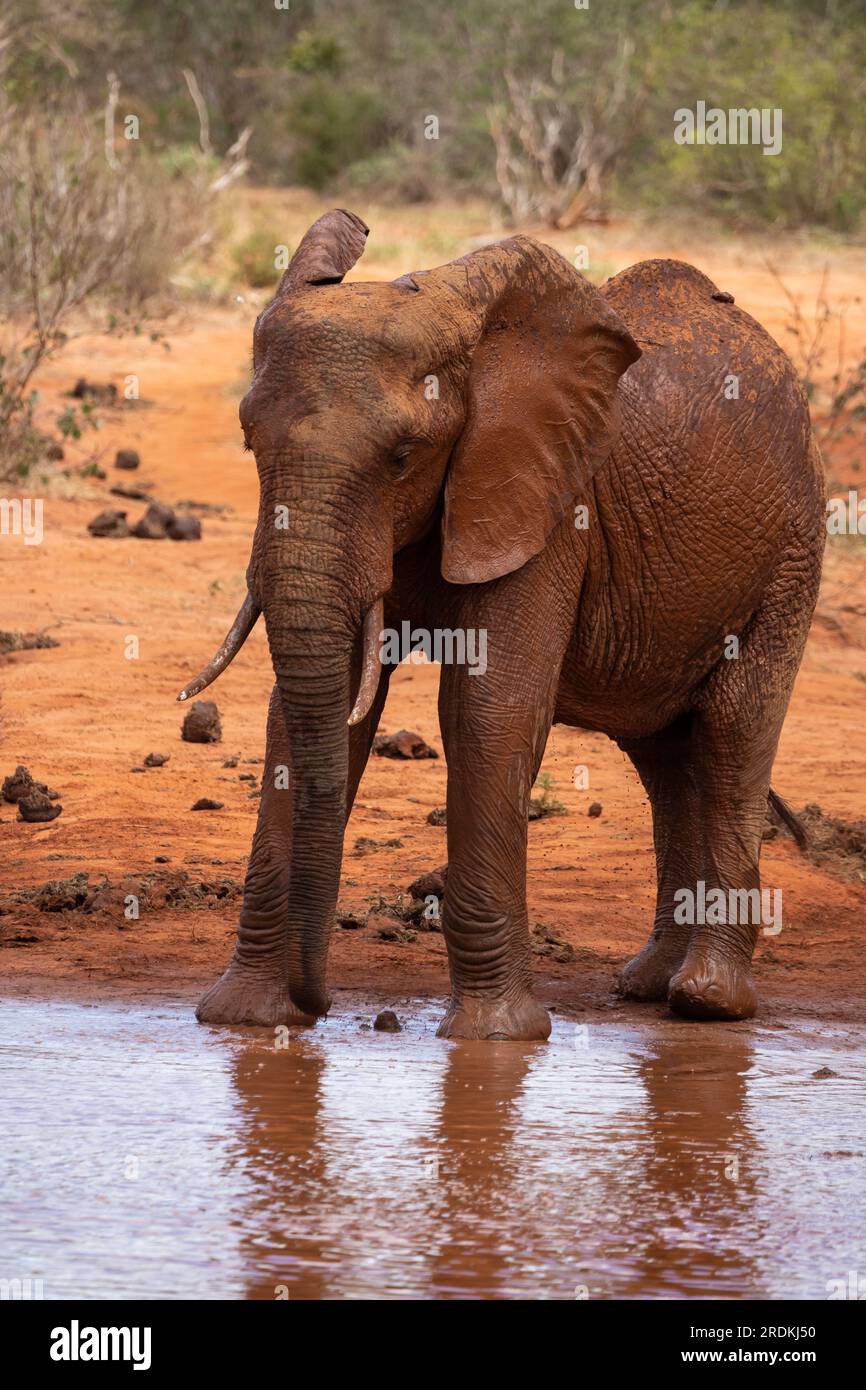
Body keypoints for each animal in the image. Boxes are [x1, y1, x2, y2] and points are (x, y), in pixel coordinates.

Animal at [183, 208, 828, 1045]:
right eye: (248, 441)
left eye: (402, 456)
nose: (319, 1001)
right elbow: (304, 718)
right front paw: (244, 1022)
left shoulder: (550, 505)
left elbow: (489, 712)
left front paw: (496, 1038)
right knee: (663, 756)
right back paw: (647, 986)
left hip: (792, 550)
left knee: (732, 729)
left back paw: (706, 1001)